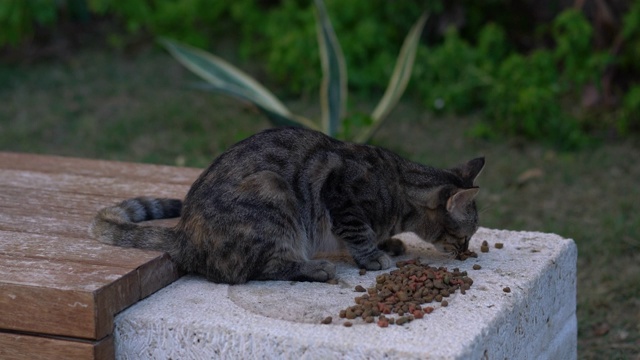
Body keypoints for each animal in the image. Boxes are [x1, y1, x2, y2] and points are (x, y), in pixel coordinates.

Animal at [87, 126, 482, 284]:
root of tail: (184, 233)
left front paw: (390, 243)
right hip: (272, 193)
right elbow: (358, 233)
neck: (399, 185)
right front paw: (374, 256)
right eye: (464, 236)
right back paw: (315, 268)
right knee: (258, 269)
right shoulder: (341, 193)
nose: (465, 253)